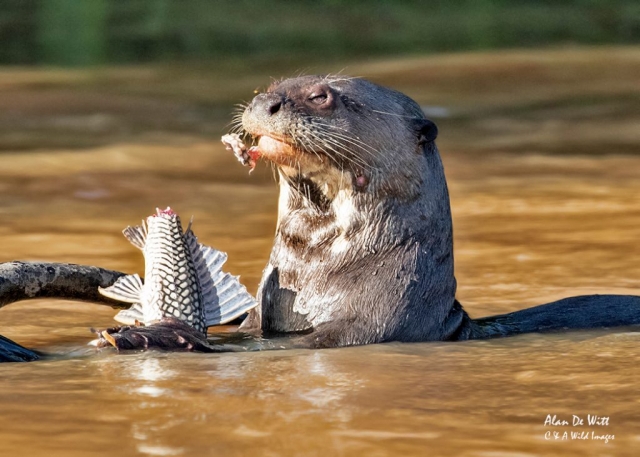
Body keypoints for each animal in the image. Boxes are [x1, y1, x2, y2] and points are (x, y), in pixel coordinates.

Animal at [1, 75, 640, 359]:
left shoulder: (369, 327)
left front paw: (151, 333)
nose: (267, 103)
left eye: (322, 96)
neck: (322, 272)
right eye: (269, 86)